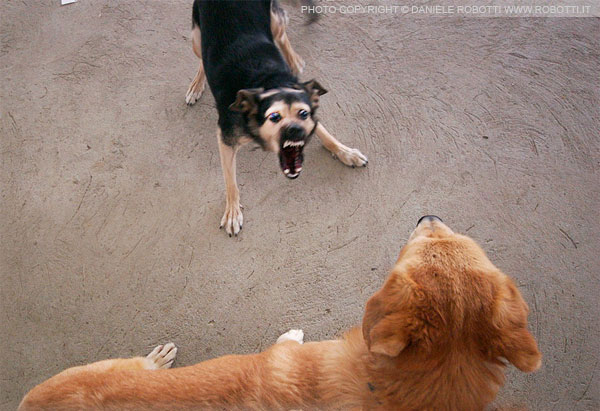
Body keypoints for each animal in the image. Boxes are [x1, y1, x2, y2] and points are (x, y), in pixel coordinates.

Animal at [185, 0, 368, 236]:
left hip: (274, 18)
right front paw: (233, 212)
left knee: (280, 34)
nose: (297, 133)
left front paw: (346, 153)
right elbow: (230, 181)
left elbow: (327, 135)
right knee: (202, 58)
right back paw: (197, 85)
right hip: (196, 38)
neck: (267, 81)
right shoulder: (226, 137)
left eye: (304, 113)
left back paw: (294, 60)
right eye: (274, 117)